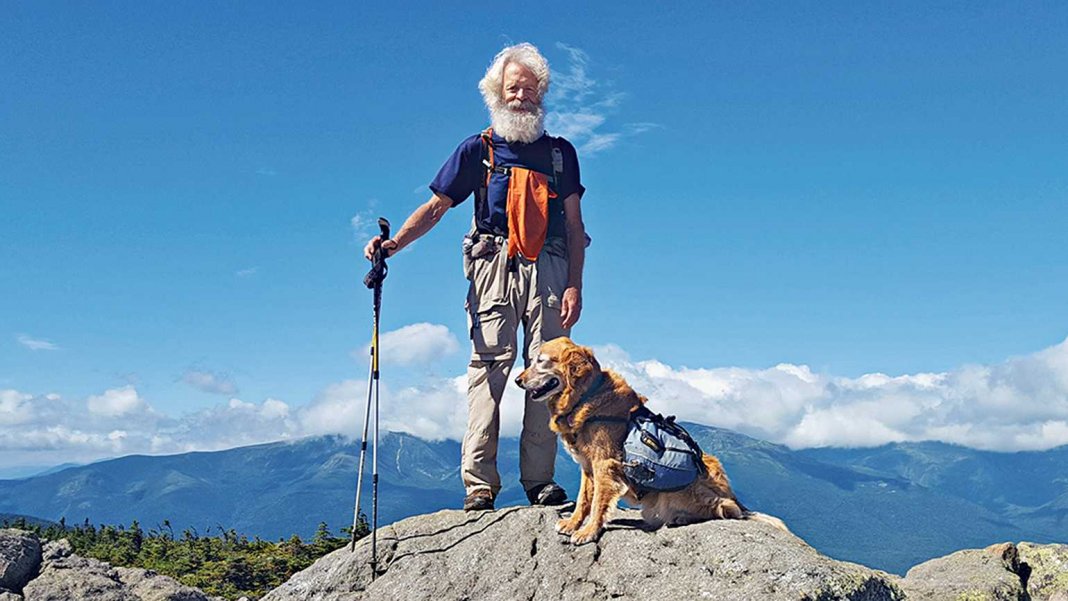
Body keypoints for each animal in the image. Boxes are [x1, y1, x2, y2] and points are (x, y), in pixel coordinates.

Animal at [516, 339, 786, 546]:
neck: (587, 395)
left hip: (688, 491)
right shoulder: (587, 467)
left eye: (541, 361)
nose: (517, 380)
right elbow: (584, 500)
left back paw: (682, 518)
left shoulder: (605, 465)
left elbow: (598, 503)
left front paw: (589, 531)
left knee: (728, 510)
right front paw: (573, 523)